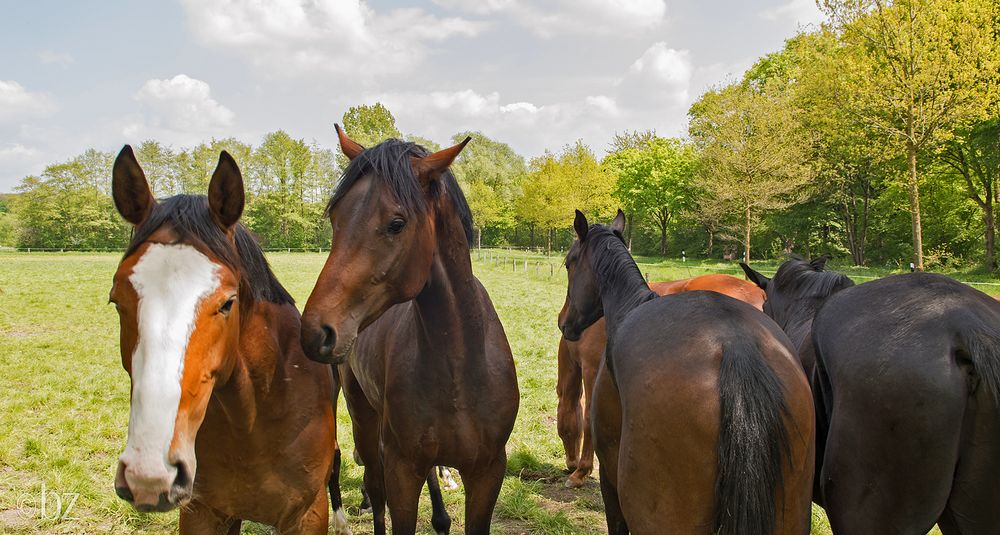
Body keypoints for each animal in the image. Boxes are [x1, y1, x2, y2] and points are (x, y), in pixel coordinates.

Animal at [108, 148, 350, 535]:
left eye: (227, 302)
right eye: (117, 300)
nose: (150, 473)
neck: (252, 418)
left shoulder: (307, 515)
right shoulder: (203, 512)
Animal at [298, 129, 520, 535]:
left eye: (396, 223)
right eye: (336, 217)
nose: (316, 331)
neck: (460, 368)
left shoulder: (488, 472)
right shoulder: (403, 469)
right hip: (361, 417)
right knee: (373, 487)